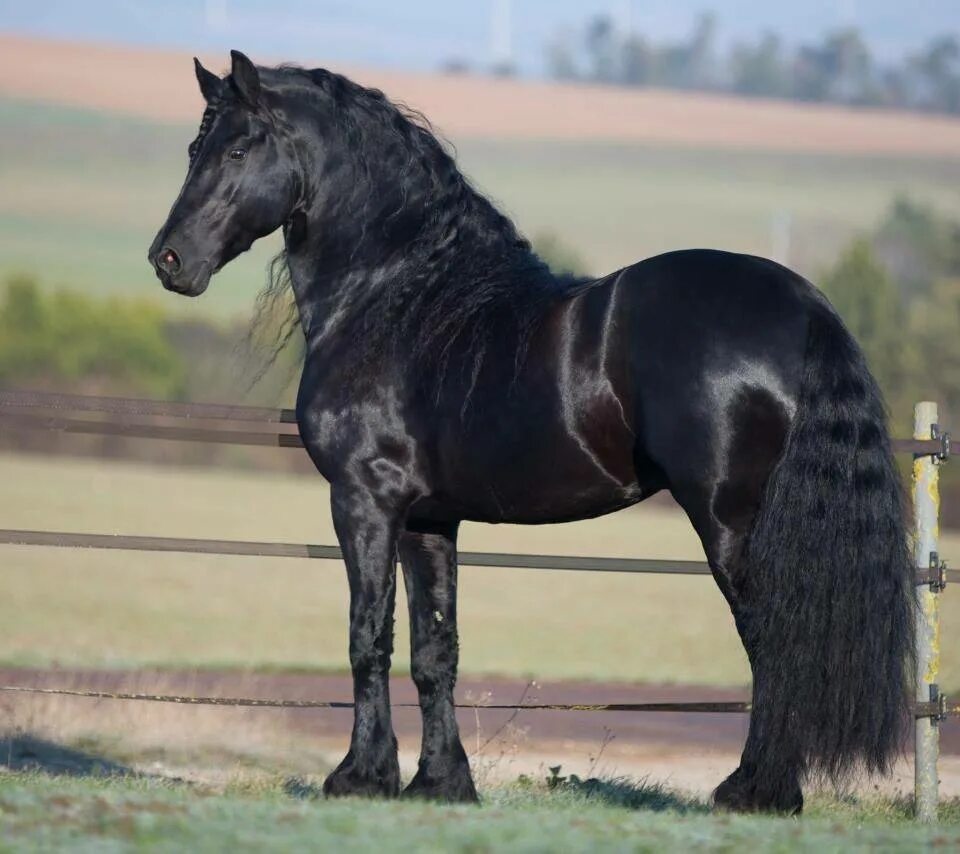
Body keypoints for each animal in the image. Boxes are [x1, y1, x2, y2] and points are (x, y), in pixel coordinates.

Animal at [148, 53, 916, 816]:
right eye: (192, 149)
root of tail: (805, 305)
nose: (169, 260)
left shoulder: (364, 501)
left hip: (731, 521)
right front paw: (442, 783)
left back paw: (755, 791)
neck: (399, 295)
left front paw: (359, 778)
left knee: (773, 641)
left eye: (238, 149)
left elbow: (368, 637)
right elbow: (435, 649)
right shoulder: (429, 518)